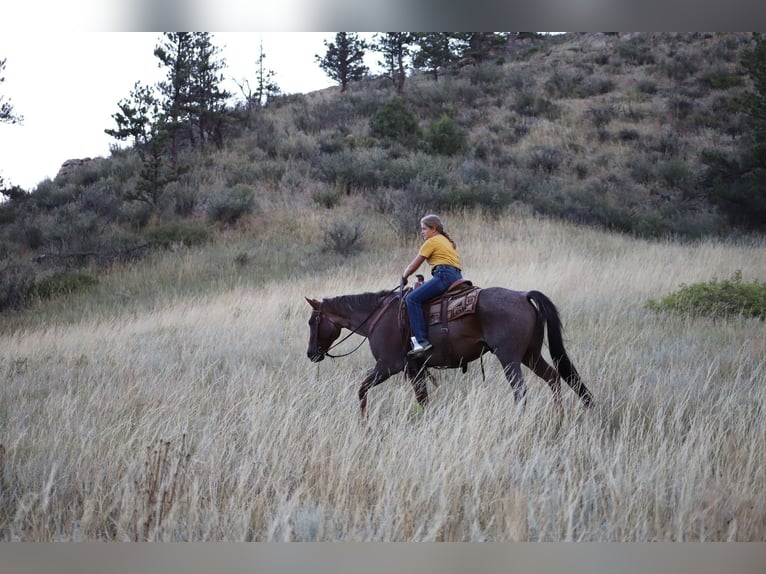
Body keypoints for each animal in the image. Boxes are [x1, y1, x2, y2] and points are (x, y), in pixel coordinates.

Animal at [306, 286, 592, 418]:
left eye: (312, 322)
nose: (311, 354)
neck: (378, 316)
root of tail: (523, 295)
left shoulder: (387, 366)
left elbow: (362, 390)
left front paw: (364, 423)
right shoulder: (415, 370)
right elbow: (423, 399)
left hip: (510, 358)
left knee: (521, 390)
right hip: (530, 355)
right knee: (554, 379)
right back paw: (559, 419)